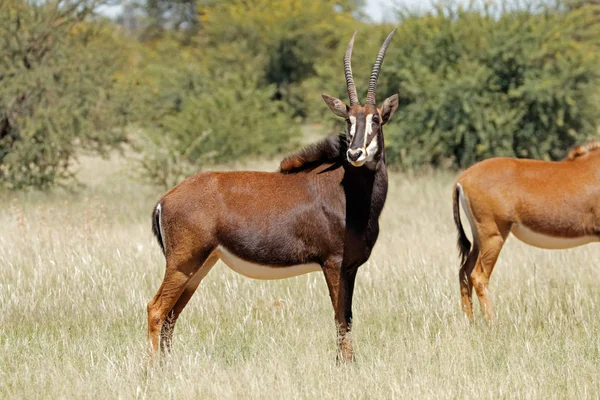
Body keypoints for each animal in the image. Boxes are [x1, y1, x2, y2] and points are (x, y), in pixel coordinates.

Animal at [146, 29, 400, 360]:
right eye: (348, 119)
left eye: (376, 119)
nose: (355, 153)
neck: (350, 196)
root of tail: (165, 200)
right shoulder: (333, 263)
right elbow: (340, 319)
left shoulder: (351, 267)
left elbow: (348, 318)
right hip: (182, 264)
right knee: (156, 310)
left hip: (199, 267)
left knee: (171, 316)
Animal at [452, 142, 600, 320]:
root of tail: (462, 179)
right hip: (493, 237)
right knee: (478, 276)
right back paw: (493, 323)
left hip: (479, 238)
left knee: (464, 272)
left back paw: (470, 322)